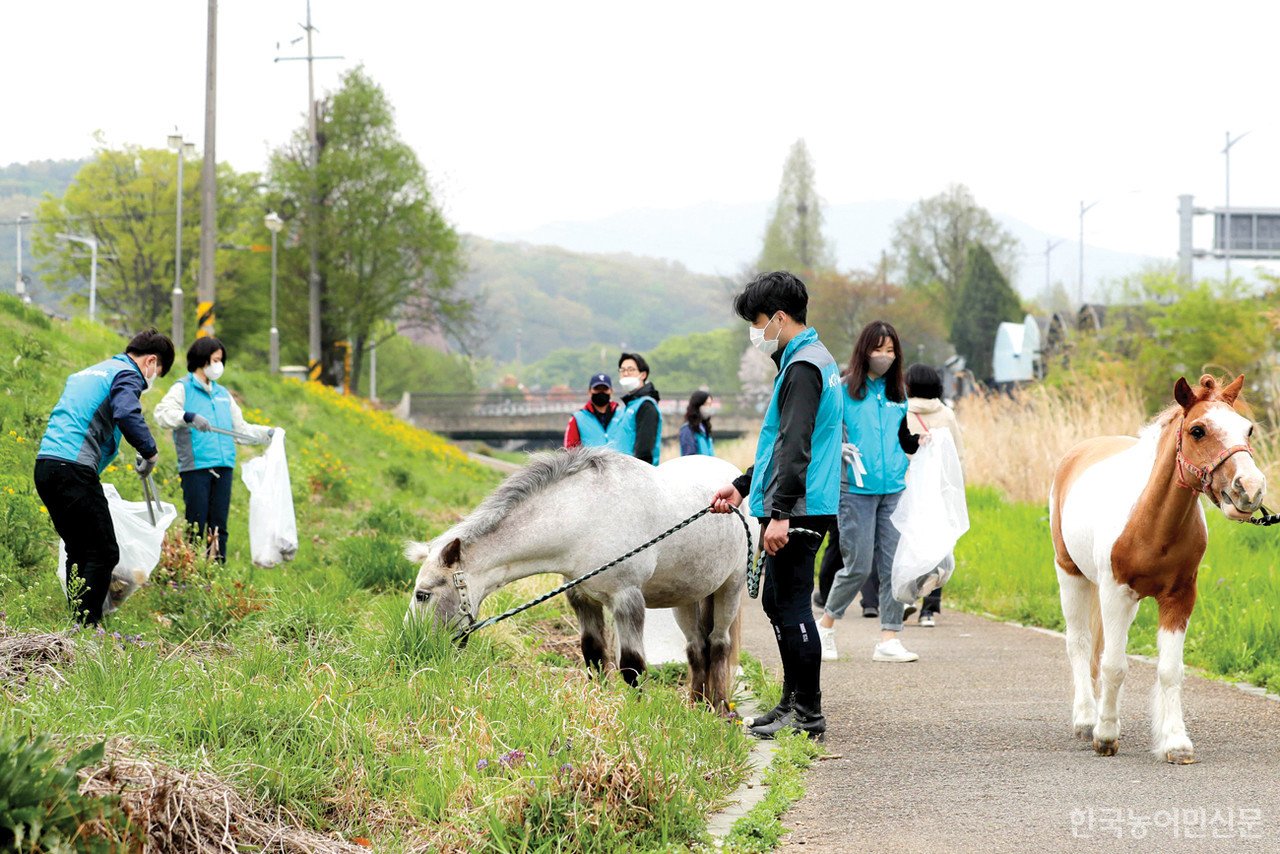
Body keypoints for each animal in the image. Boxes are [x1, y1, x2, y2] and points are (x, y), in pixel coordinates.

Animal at [404, 448, 752, 706]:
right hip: (687, 597)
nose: (415, 645)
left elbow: (632, 667)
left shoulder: (627, 599)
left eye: (423, 594)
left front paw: (637, 716)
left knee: (719, 644)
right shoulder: (582, 598)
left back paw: (720, 709)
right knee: (696, 648)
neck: (587, 516)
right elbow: (595, 657)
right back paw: (697, 706)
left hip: (731, 587)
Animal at [1054, 376, 1264, 763]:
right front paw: (1105, 736)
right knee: (1080, 643)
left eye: (1248, 429)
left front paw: (1175, 742)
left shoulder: (1179, 597)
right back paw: (1087, 719)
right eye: (1198, 430)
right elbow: (1114, 665)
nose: (1250, 489)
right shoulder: (1115, 592)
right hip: (1070, 574)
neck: (1151, 521)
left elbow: (1169, 670)